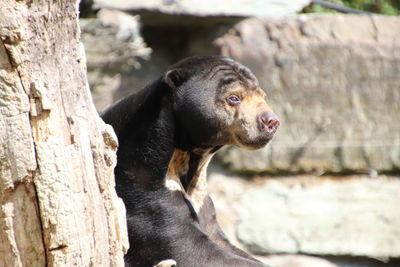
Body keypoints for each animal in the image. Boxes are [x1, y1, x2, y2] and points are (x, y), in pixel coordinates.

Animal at [101, 55, 280, 266]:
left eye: (263, 97)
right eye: (234, 98)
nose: (271, 121)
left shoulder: (201, 199)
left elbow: (219, 238)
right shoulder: (142, 189)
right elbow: (187, 248)